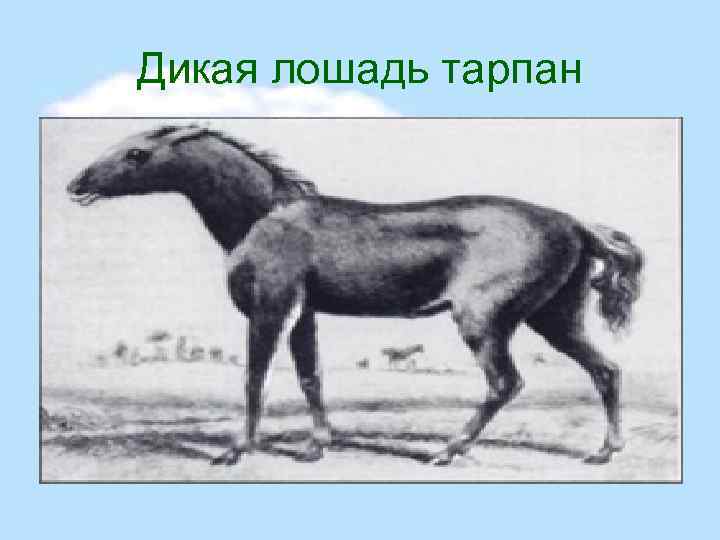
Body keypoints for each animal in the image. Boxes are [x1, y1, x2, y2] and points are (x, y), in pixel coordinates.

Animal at [66, 124, 644, 466]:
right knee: (606, 370)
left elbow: (255, 376)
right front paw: (316, 446)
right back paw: (604, 452)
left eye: (137, 153)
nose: (75, 184)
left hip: (483, 320)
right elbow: (310, 376)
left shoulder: (270, 307)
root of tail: (575, 223)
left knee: (506, 382)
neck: (263, 213)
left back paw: (446, 450)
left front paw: (235, 450)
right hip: (555, 317)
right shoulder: (303, 315)